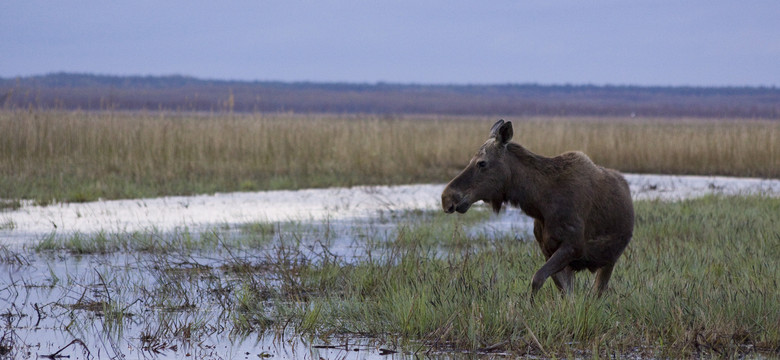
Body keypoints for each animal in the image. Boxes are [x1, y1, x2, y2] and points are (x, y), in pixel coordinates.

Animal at [438, 119, 632, 296]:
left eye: (482, 162)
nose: (446, 197)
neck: (540, 203)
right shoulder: (547, 249)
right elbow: (563, 292)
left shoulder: (574, 245)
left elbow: (537, 279)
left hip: (610, 259)